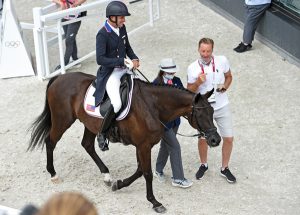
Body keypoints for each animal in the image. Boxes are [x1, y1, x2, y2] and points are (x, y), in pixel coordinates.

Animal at [27, 71, 220, 212]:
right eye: (200, 114)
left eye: (212, 112)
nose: (215, 140)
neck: (153, 106)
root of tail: (60, 77)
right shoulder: (143, 146)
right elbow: (147, 173)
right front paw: (155, 202)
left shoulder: (141, 145)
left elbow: (140, 170)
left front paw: (118, 184)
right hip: (63, 120)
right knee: (50, 141)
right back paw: (53, 174)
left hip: (90, 124)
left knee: (87, 145)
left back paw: (106, 175)